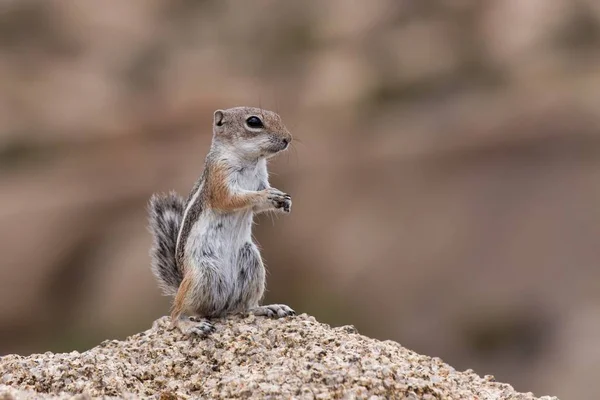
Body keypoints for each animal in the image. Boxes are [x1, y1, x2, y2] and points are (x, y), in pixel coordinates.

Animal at [146, 108, 296, 336]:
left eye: (277, 116)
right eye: (254, 122)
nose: (287, 139)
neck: (251, 161)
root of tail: (222, 308)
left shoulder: (261, 178)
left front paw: (284, 200)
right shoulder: (220, 178)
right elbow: (232, 199)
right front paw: (267, 196)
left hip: (252, 264)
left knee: (245, 307)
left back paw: (268, 308)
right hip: (201, 275)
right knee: (176, 313)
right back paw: (190, 325)